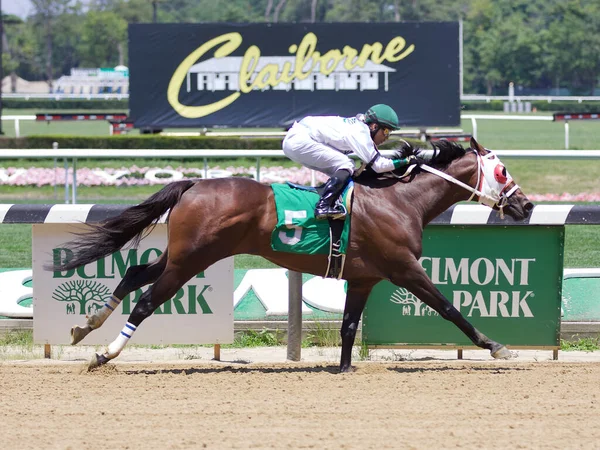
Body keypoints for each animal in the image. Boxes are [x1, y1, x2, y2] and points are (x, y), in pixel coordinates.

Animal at [49, 138, 532, 372]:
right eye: (503, 170)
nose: (526, 206)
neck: (400, 200)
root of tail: (195, 183)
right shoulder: (404, 269)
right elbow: (449, 307)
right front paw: (496, 347)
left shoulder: (363, 278)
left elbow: (349, 326)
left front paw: (343, 369)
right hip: (192, 261)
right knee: (146, 301)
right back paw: (104, 354)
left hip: (183, 255)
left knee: (134, 273)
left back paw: (84, 326)